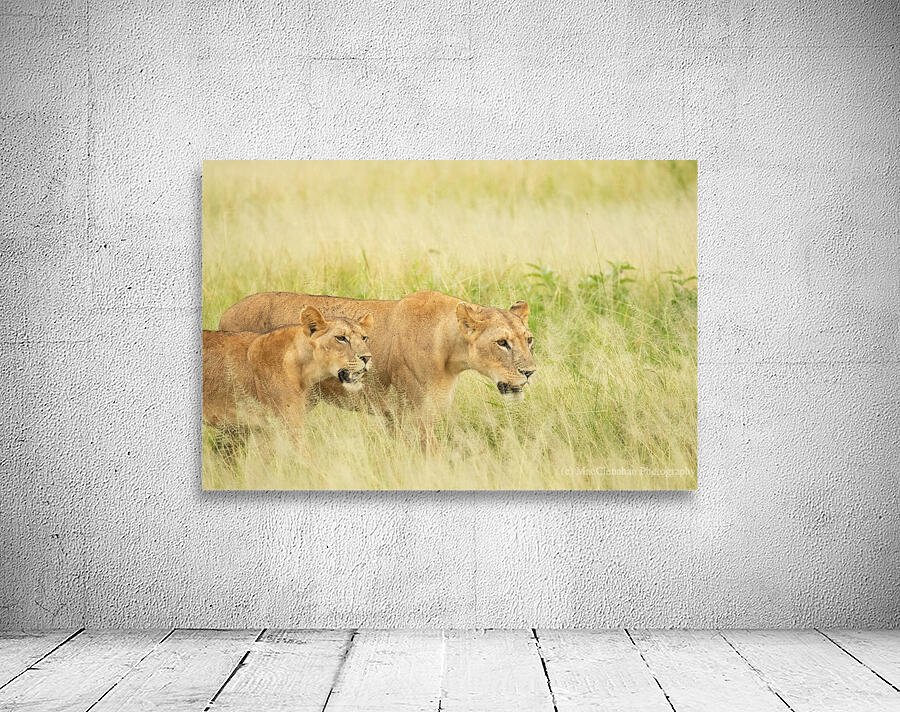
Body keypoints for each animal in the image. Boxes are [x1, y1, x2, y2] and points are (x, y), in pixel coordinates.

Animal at [203, 305, 372, 431]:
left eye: (364, 338)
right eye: (341, 338)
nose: (367, 357)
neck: (304, 368)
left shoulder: (264, 430)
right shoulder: (289, 423)